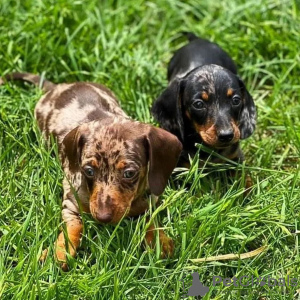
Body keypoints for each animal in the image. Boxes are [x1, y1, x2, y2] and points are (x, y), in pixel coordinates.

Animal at [0, 72, 182, 270]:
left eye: (129, 173)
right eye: (88, 171)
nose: (102, 218)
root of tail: (58, 86)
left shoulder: (151, 200)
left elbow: (150, 219)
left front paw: (159, 240)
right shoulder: (70, 203)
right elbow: (74, 226)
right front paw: (62, 251)